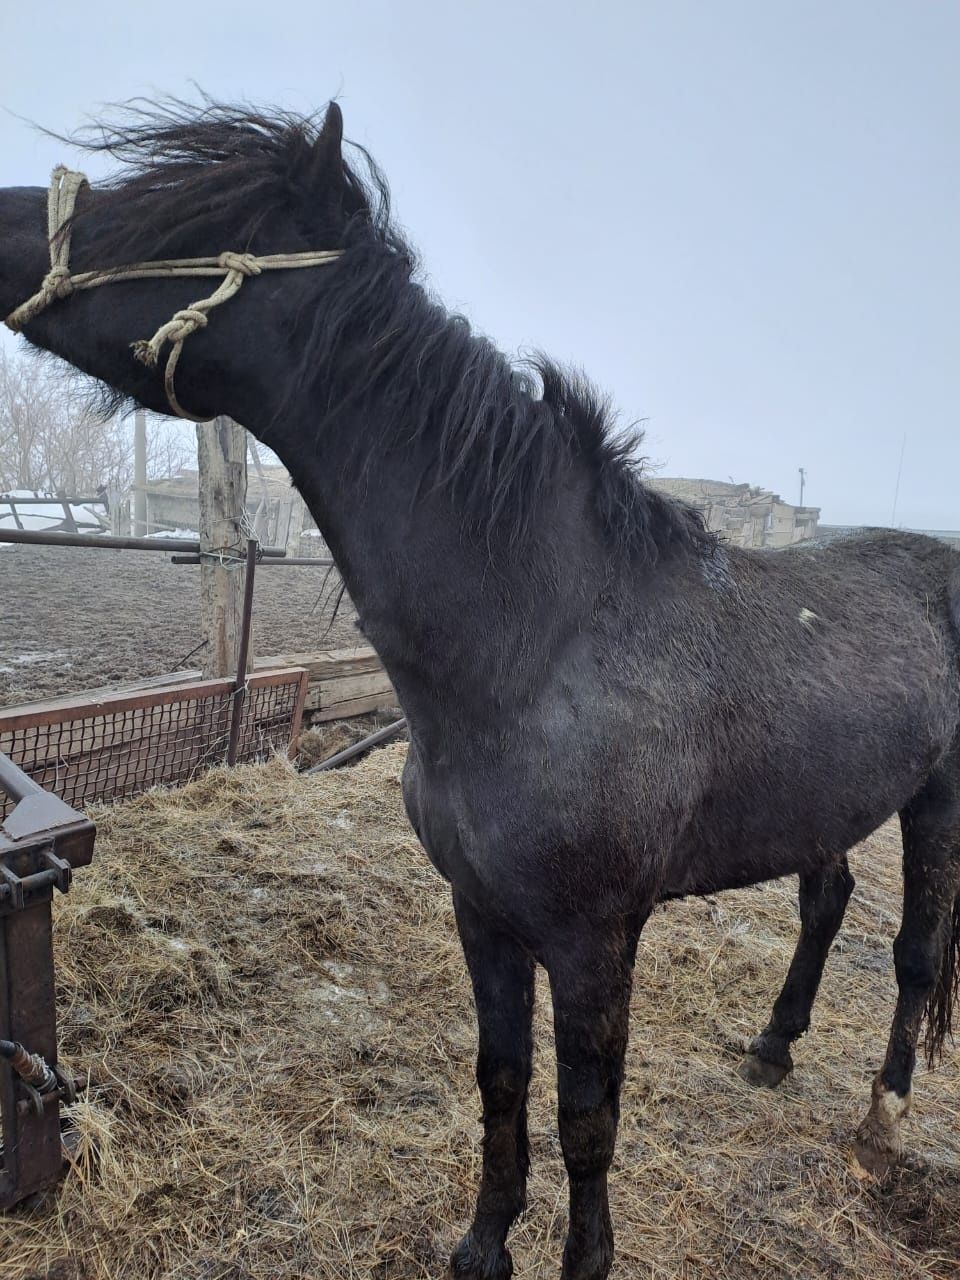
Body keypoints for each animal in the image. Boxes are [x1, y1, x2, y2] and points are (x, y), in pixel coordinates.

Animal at [1, 102, 960, 1280]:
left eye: (172, 210)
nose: (1, 225)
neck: (537, 648)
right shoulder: (482, 912)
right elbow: (502, 1083)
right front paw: (483, 1245)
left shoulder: (594, 939)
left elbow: (587, 1116)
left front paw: (582, 1259)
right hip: (822, 800)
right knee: (827, 900)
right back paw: (774, 1047)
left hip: (936, 798)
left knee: (917, 953)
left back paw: (882, 1120)